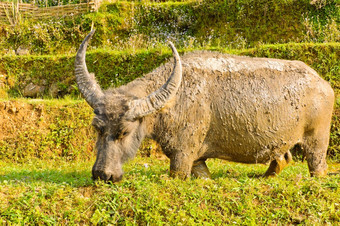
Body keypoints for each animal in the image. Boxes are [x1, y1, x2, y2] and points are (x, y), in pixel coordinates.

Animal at [75, 30, 334, 182]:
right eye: (97, 128)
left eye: (125, 132)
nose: (103, 174)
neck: (175, 100)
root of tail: (323, 83)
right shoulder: (196, 158)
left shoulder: (182, 154)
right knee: (282, 158)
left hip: (317, 141)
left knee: (317, 165)